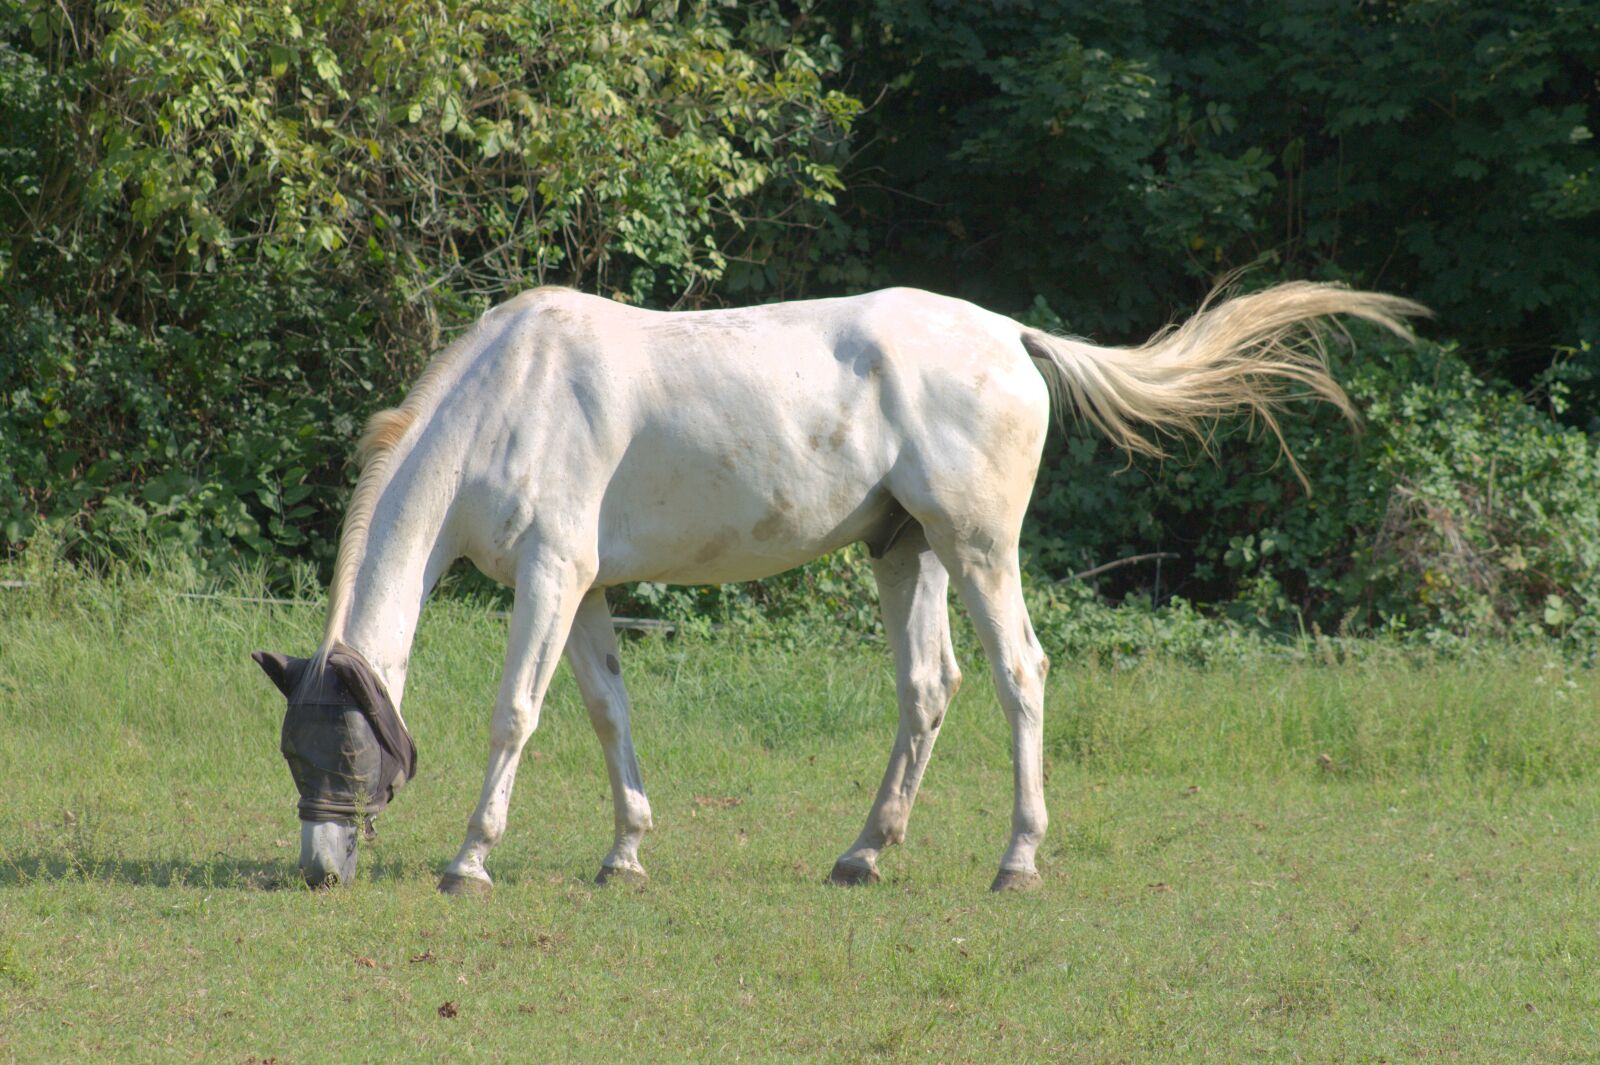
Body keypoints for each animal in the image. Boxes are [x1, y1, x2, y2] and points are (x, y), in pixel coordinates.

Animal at [252, 281, 1423, 893]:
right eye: (291, 752)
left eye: (346, 752)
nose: (317, 867)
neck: (510, 400)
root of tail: (1011, 335)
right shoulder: (584, 592)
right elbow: (605, 712)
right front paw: (625, 853)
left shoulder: (550, 576)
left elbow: (516, 715)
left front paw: (469, 860)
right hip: (906, 552)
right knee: (929, 688)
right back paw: (863, 852)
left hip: (976, 547)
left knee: (1018, 674)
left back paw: (1017, 861)